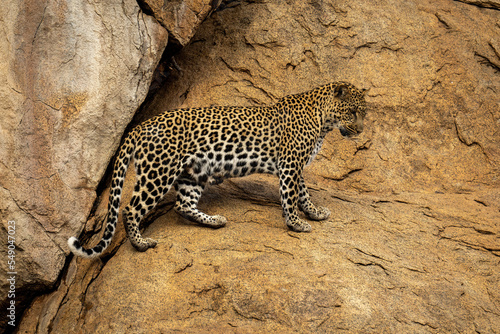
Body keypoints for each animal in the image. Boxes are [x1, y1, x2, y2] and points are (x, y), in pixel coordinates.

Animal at [68, 81, 368, 258]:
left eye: (364, 113)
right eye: (352, 112)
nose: (361, 130)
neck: (323, 120)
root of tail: (140, 126)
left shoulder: (294, 165)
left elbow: (303, 193)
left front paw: (314, 213)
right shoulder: (290, 163)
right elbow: (291, 196)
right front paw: (296, 223)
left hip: (193, 173)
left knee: (182, 205)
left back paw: (214, 221)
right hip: (159, 172)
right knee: (130, 209)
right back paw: (141, 244)